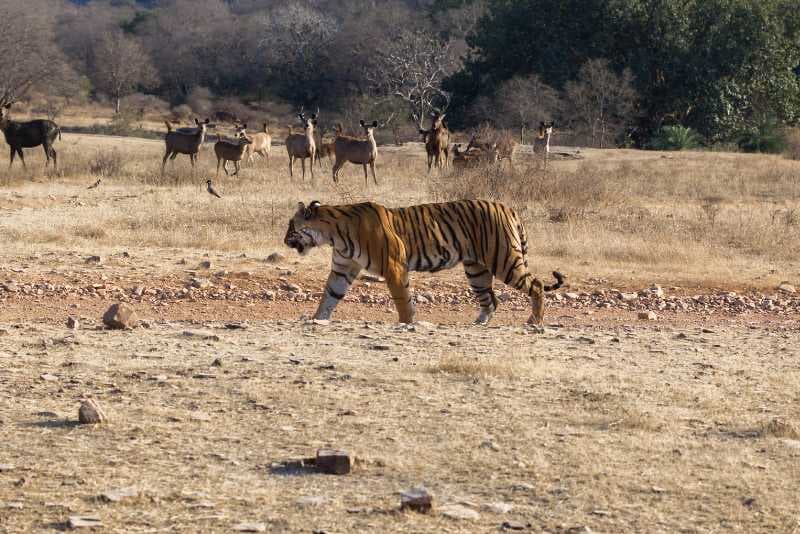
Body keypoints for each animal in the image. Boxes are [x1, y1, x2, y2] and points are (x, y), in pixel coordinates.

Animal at [282, 200, 564, 326]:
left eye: (291, 227)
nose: (284, 240)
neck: (334, 234)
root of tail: (507, 206)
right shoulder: (342, 269)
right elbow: (329, 296)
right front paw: (317, 319)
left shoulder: (395, 266)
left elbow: (402, 299)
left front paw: (407, 323)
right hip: (476, 270)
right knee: (491, 300)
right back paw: (478, 323)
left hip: (504, 260)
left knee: (536, 285)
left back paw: (534, 321)